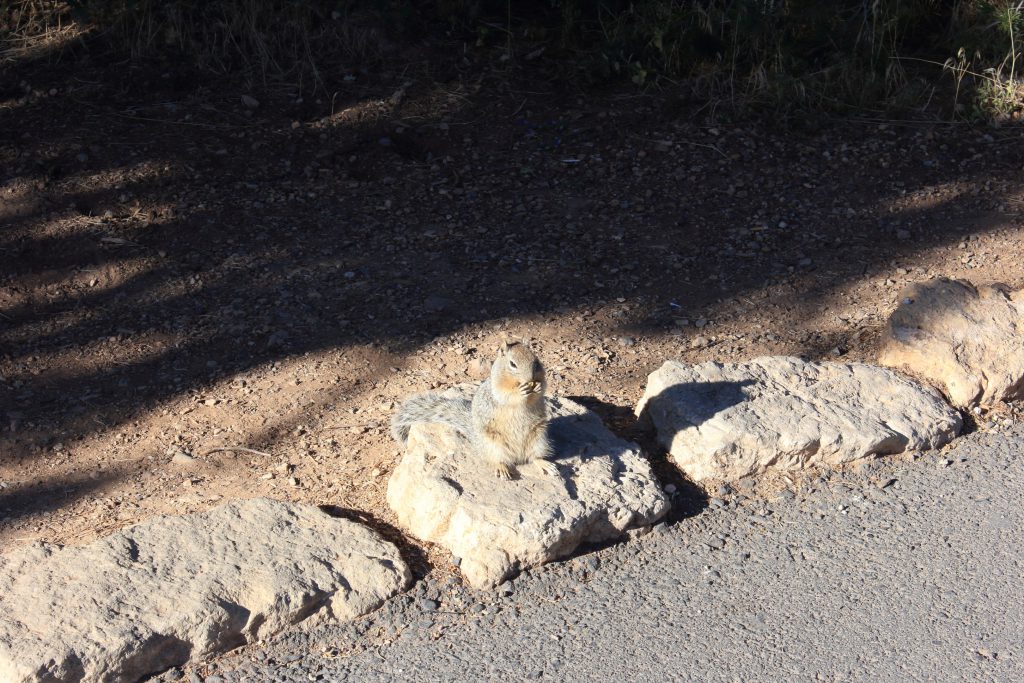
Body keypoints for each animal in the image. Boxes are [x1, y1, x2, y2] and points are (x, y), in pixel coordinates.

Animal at [390, 340, 558, 480]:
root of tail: (518, 455)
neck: (516, 382)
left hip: (539, 440)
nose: (530, 379)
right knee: (497, 460)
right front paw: (520, 392)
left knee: (534, 457)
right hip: (493, 445)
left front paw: (538, 387)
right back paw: (502, 468)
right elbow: (507, 396)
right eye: (512, 364)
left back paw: (545, 464)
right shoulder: (496, 390)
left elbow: (543, 388)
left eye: (536, 362)